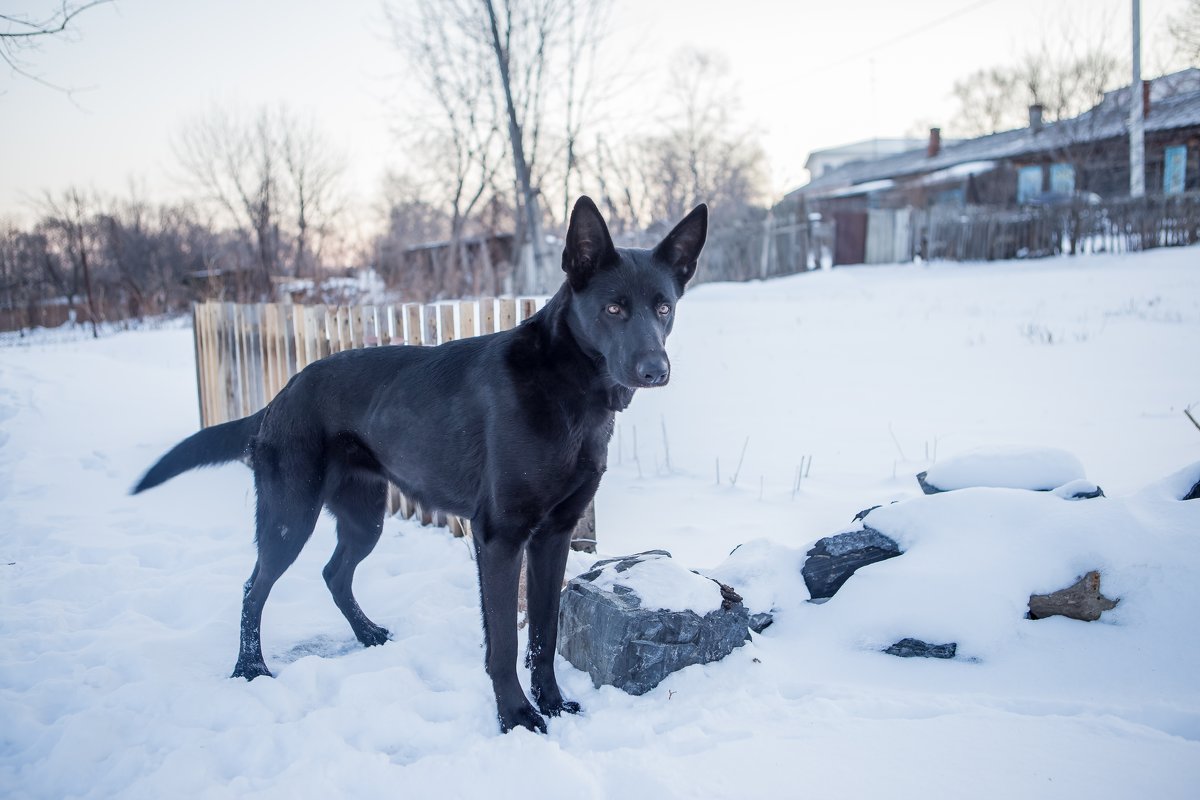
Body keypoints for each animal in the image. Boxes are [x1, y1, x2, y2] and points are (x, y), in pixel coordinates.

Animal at [136, 196, 705, 734]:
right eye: (613, 309)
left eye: (663, 308)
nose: (655, 370)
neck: (569, 389)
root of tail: (280, 398)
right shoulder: (499, 537)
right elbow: (502, 643)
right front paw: (515, 717)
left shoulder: (554, 536)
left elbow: (545, 634)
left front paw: (553, 703)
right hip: (289, 518)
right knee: (254, 588)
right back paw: (249, 668)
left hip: (364, 518)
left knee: (334, 574)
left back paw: (367, 634)